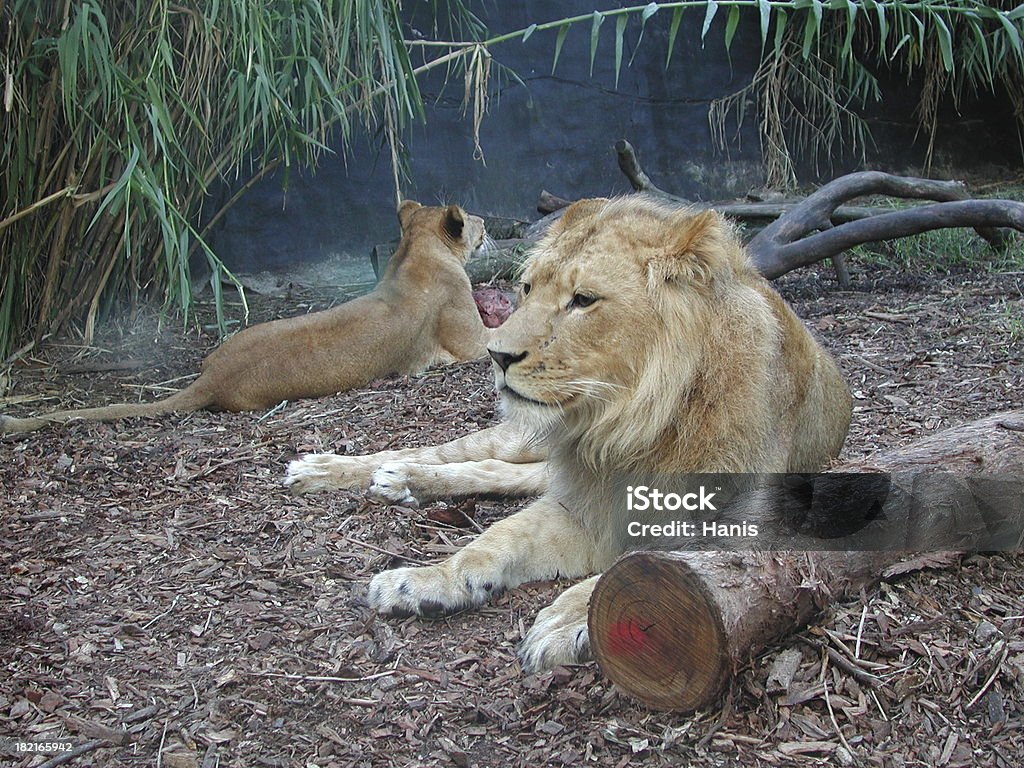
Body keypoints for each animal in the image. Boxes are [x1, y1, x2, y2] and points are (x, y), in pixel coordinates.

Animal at [286, 198, 847, 671]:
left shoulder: (740, 528)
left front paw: (570, 617)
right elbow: (495, 540)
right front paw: (425, 580)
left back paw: (404, 481)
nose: (497, 355)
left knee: (494, 471)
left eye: (583, 300)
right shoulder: (580, 507)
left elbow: (639, 564)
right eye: (528, 288)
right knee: (447, 450)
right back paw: (335, 469)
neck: (623, 425)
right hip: (520, 438)